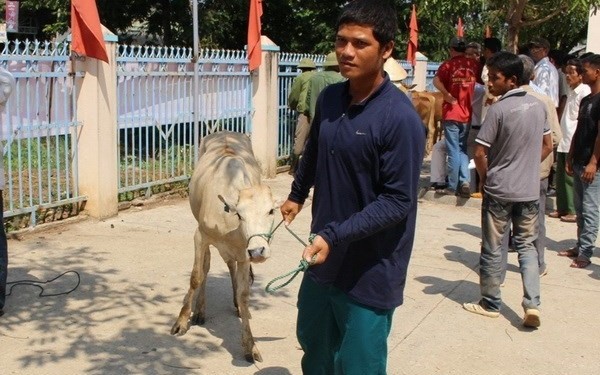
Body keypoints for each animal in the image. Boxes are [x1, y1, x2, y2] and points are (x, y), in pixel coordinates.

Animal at [170, 131, 278, 362]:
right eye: (240, 215)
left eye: (272, 211)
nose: (258, 251)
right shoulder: (200, 236)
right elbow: (196, 276)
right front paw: (182, 321)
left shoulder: (244, 254)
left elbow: (244, 294)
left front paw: (250, 346)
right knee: (206, 266)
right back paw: (199, 310)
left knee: (229, 266)